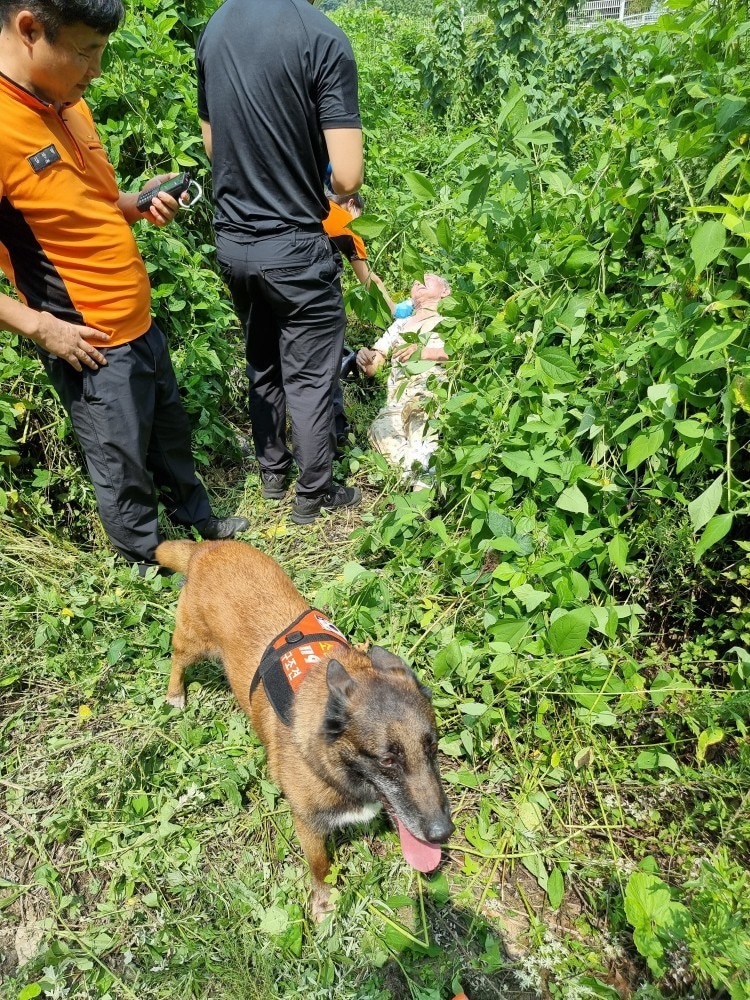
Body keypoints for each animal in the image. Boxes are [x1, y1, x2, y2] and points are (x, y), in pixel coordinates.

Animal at [156, 544, 456, 916]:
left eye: (432, 747)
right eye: (387, 760)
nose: (443, 833)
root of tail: (206, 547)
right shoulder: (308, 824)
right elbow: (320, 865)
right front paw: (325, 900)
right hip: (192, 642)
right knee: (177, 659)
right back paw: (175, 693)